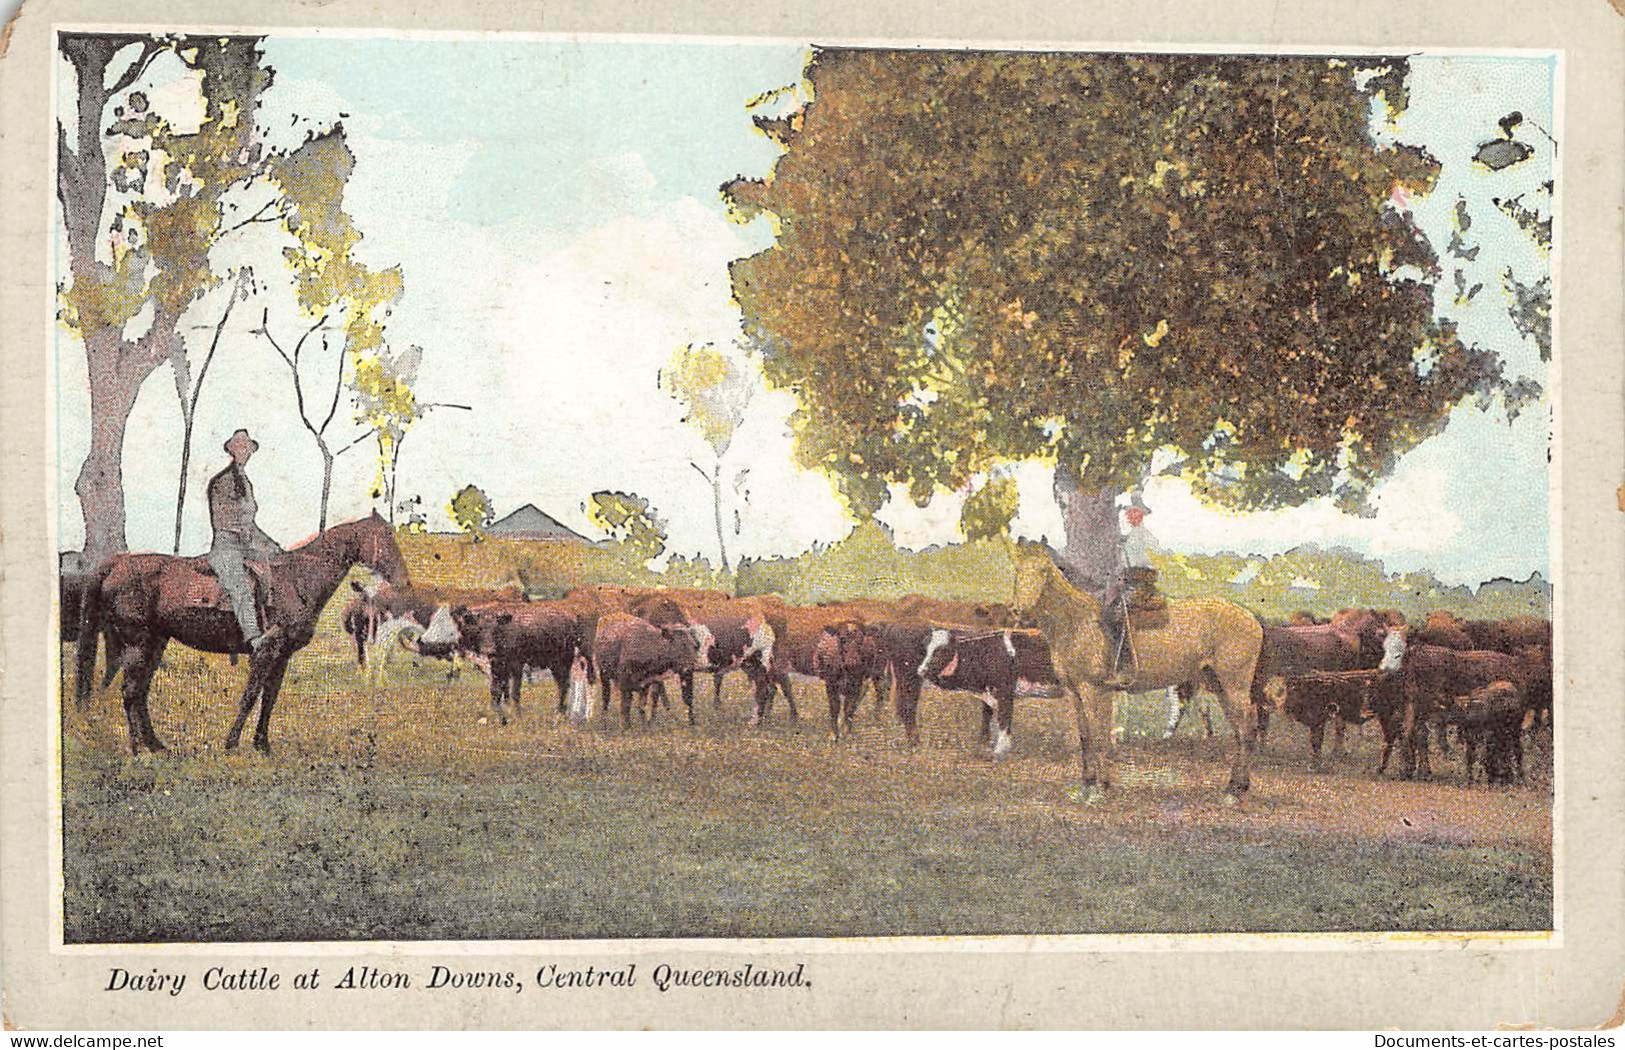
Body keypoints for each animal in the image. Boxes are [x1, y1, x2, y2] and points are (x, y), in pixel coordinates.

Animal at [75, 513, 409, 754]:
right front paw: (232, 743)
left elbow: (269, 699)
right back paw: (136, 749)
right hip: (138, 644)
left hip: (156, 643)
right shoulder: (264, 652)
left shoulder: (282, 657)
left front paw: (262, 745)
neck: (297, 580)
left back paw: (156, 746)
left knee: (140, 693)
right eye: (385, 538)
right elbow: (249, 697)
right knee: (131, 692)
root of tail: (116, 564)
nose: (404, 580)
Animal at [1007, 546, 1261, 802]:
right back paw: (1235, 785)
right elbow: (1086, 738)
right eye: (1017, 569)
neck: (1076, 623)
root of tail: (1253, 620)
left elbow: (1099, 737)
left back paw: (1236, 790)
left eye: (1043, 571)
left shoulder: (1093, 690)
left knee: (1247, 729)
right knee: (1240, 731)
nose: (1020, 610)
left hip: (1234, 686)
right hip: (1219, 686)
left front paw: (1101, 787)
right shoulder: (1077, 693)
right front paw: (1087, 784)